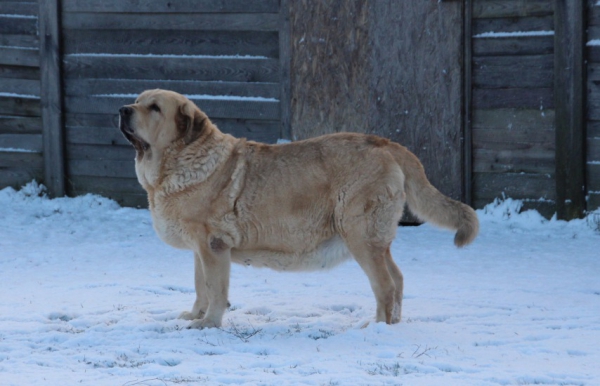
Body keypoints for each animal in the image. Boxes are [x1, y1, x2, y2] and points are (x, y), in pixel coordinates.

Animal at [119, 89, 480, 328]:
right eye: (137, 100)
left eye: (154, 108)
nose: (123, 109)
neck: (180, 160)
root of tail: (386, 144)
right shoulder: (199, 249)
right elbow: (200, 286)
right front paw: (194, 315)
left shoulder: (213, 246)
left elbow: (216, 289)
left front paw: (208, 323)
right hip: (375, 240)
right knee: (398, 279)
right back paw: (392, 324)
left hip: (360, 236)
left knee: (385, 286)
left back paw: (375, 328)